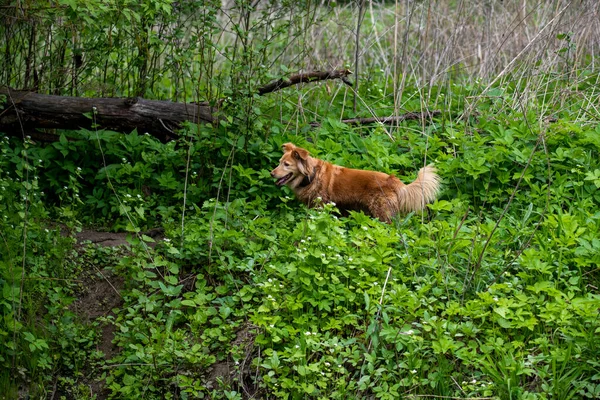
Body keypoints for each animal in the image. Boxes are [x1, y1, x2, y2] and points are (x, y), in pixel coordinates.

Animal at [272, 142, 440, 223]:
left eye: (286, 164)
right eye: (279, 162)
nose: (271, 173)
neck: (311, 175)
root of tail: (393, 180)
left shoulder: (321, 206)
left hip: (381, 212)